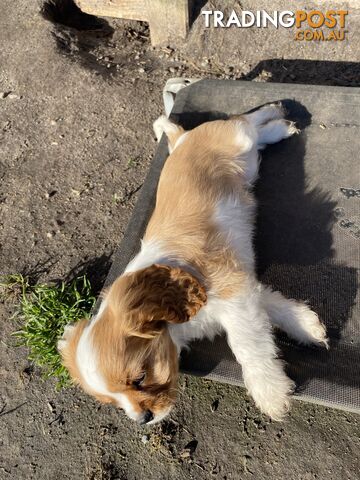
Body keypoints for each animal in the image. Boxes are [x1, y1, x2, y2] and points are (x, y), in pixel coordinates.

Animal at [58, 105, 330, 424]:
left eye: (140, 378)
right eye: (112, 403)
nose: (142, 419)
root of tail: (182, 139)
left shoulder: (233, 296)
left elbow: (248, 345)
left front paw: (270, 393)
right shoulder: (241, 284)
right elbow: (271, 303)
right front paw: (306, 326)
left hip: (238, 140)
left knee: (245, 120)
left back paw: (278, 119)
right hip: (247, 159)